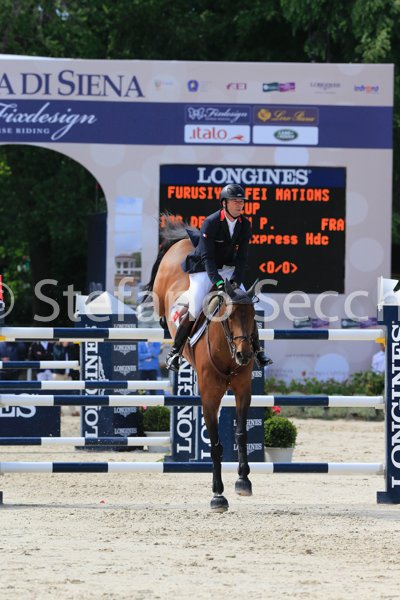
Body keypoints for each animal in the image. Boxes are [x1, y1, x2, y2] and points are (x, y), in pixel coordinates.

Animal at [142, 218, 258, 512]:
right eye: (229, 316)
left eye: (253, 316)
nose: (244, 355)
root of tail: (186, 240)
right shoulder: (209, 395)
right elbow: (215, 445)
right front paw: (218, 495)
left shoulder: (243, 390)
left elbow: (241, 434)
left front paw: (243, 481)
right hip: (163, 290)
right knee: (161, 305)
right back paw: (170, 345)